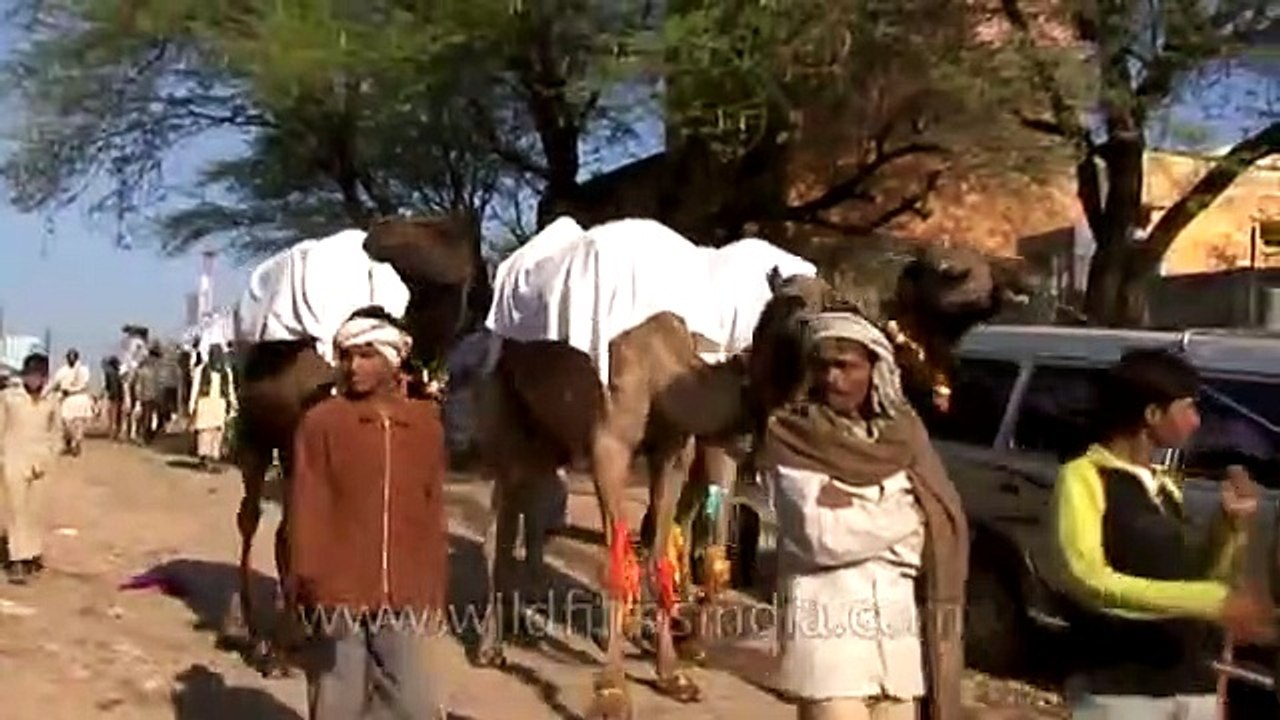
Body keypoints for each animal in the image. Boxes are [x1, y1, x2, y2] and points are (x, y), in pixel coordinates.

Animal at [473, 243, 1032, 718]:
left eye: (835, 303)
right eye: (791, 302)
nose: (1013, 287)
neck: (673, 366)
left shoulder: (674, 447)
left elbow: (659, 552)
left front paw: (672, 674)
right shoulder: (611, 440)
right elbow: (622, 560)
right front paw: (612, 693)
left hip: (550, 432)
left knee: (532, 508)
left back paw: (523, 620)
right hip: (508, 406)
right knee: (501, 520)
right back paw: (490, 646)